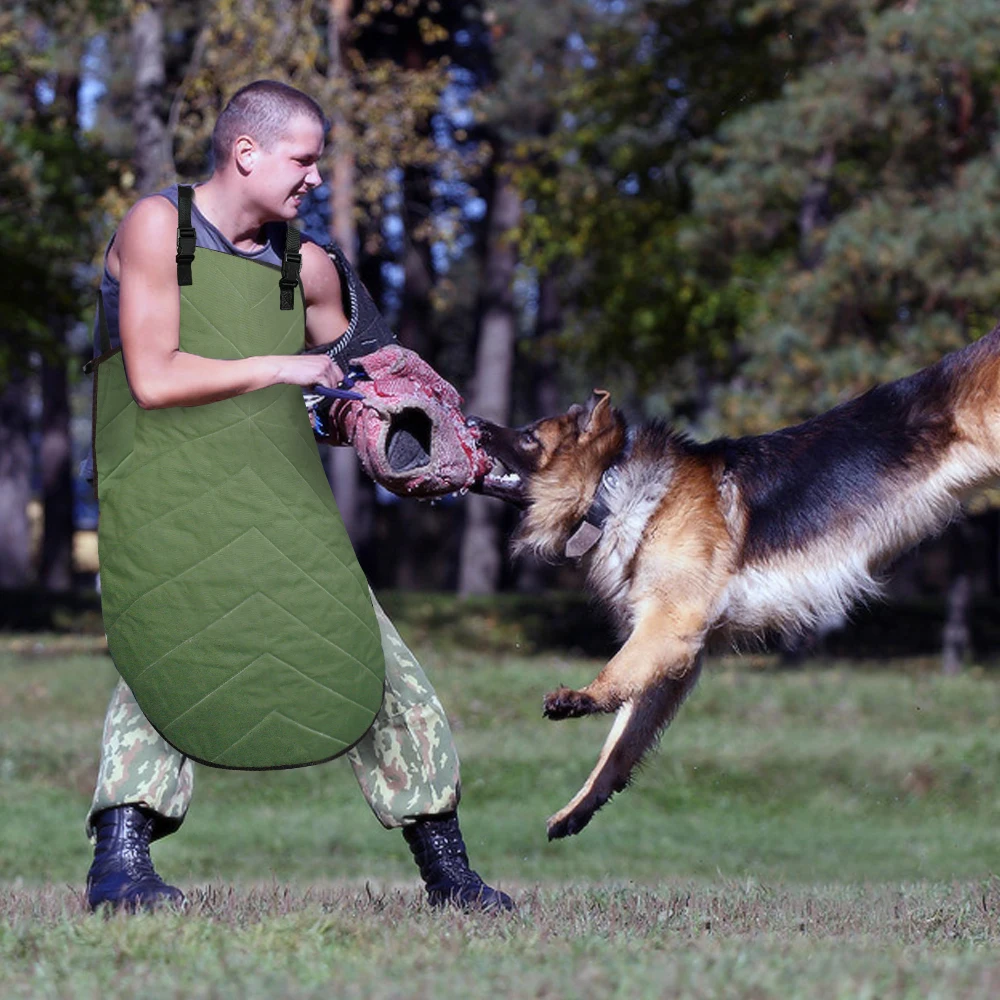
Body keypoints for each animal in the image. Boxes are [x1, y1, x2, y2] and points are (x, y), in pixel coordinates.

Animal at [472, 326, 1000, 836]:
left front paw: (581, 697)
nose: (473, 421)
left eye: (528, 436)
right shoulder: (677, 657)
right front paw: (580, 805)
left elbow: (616, 675)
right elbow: (620, 742)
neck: (613, 489)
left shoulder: (669, 627)